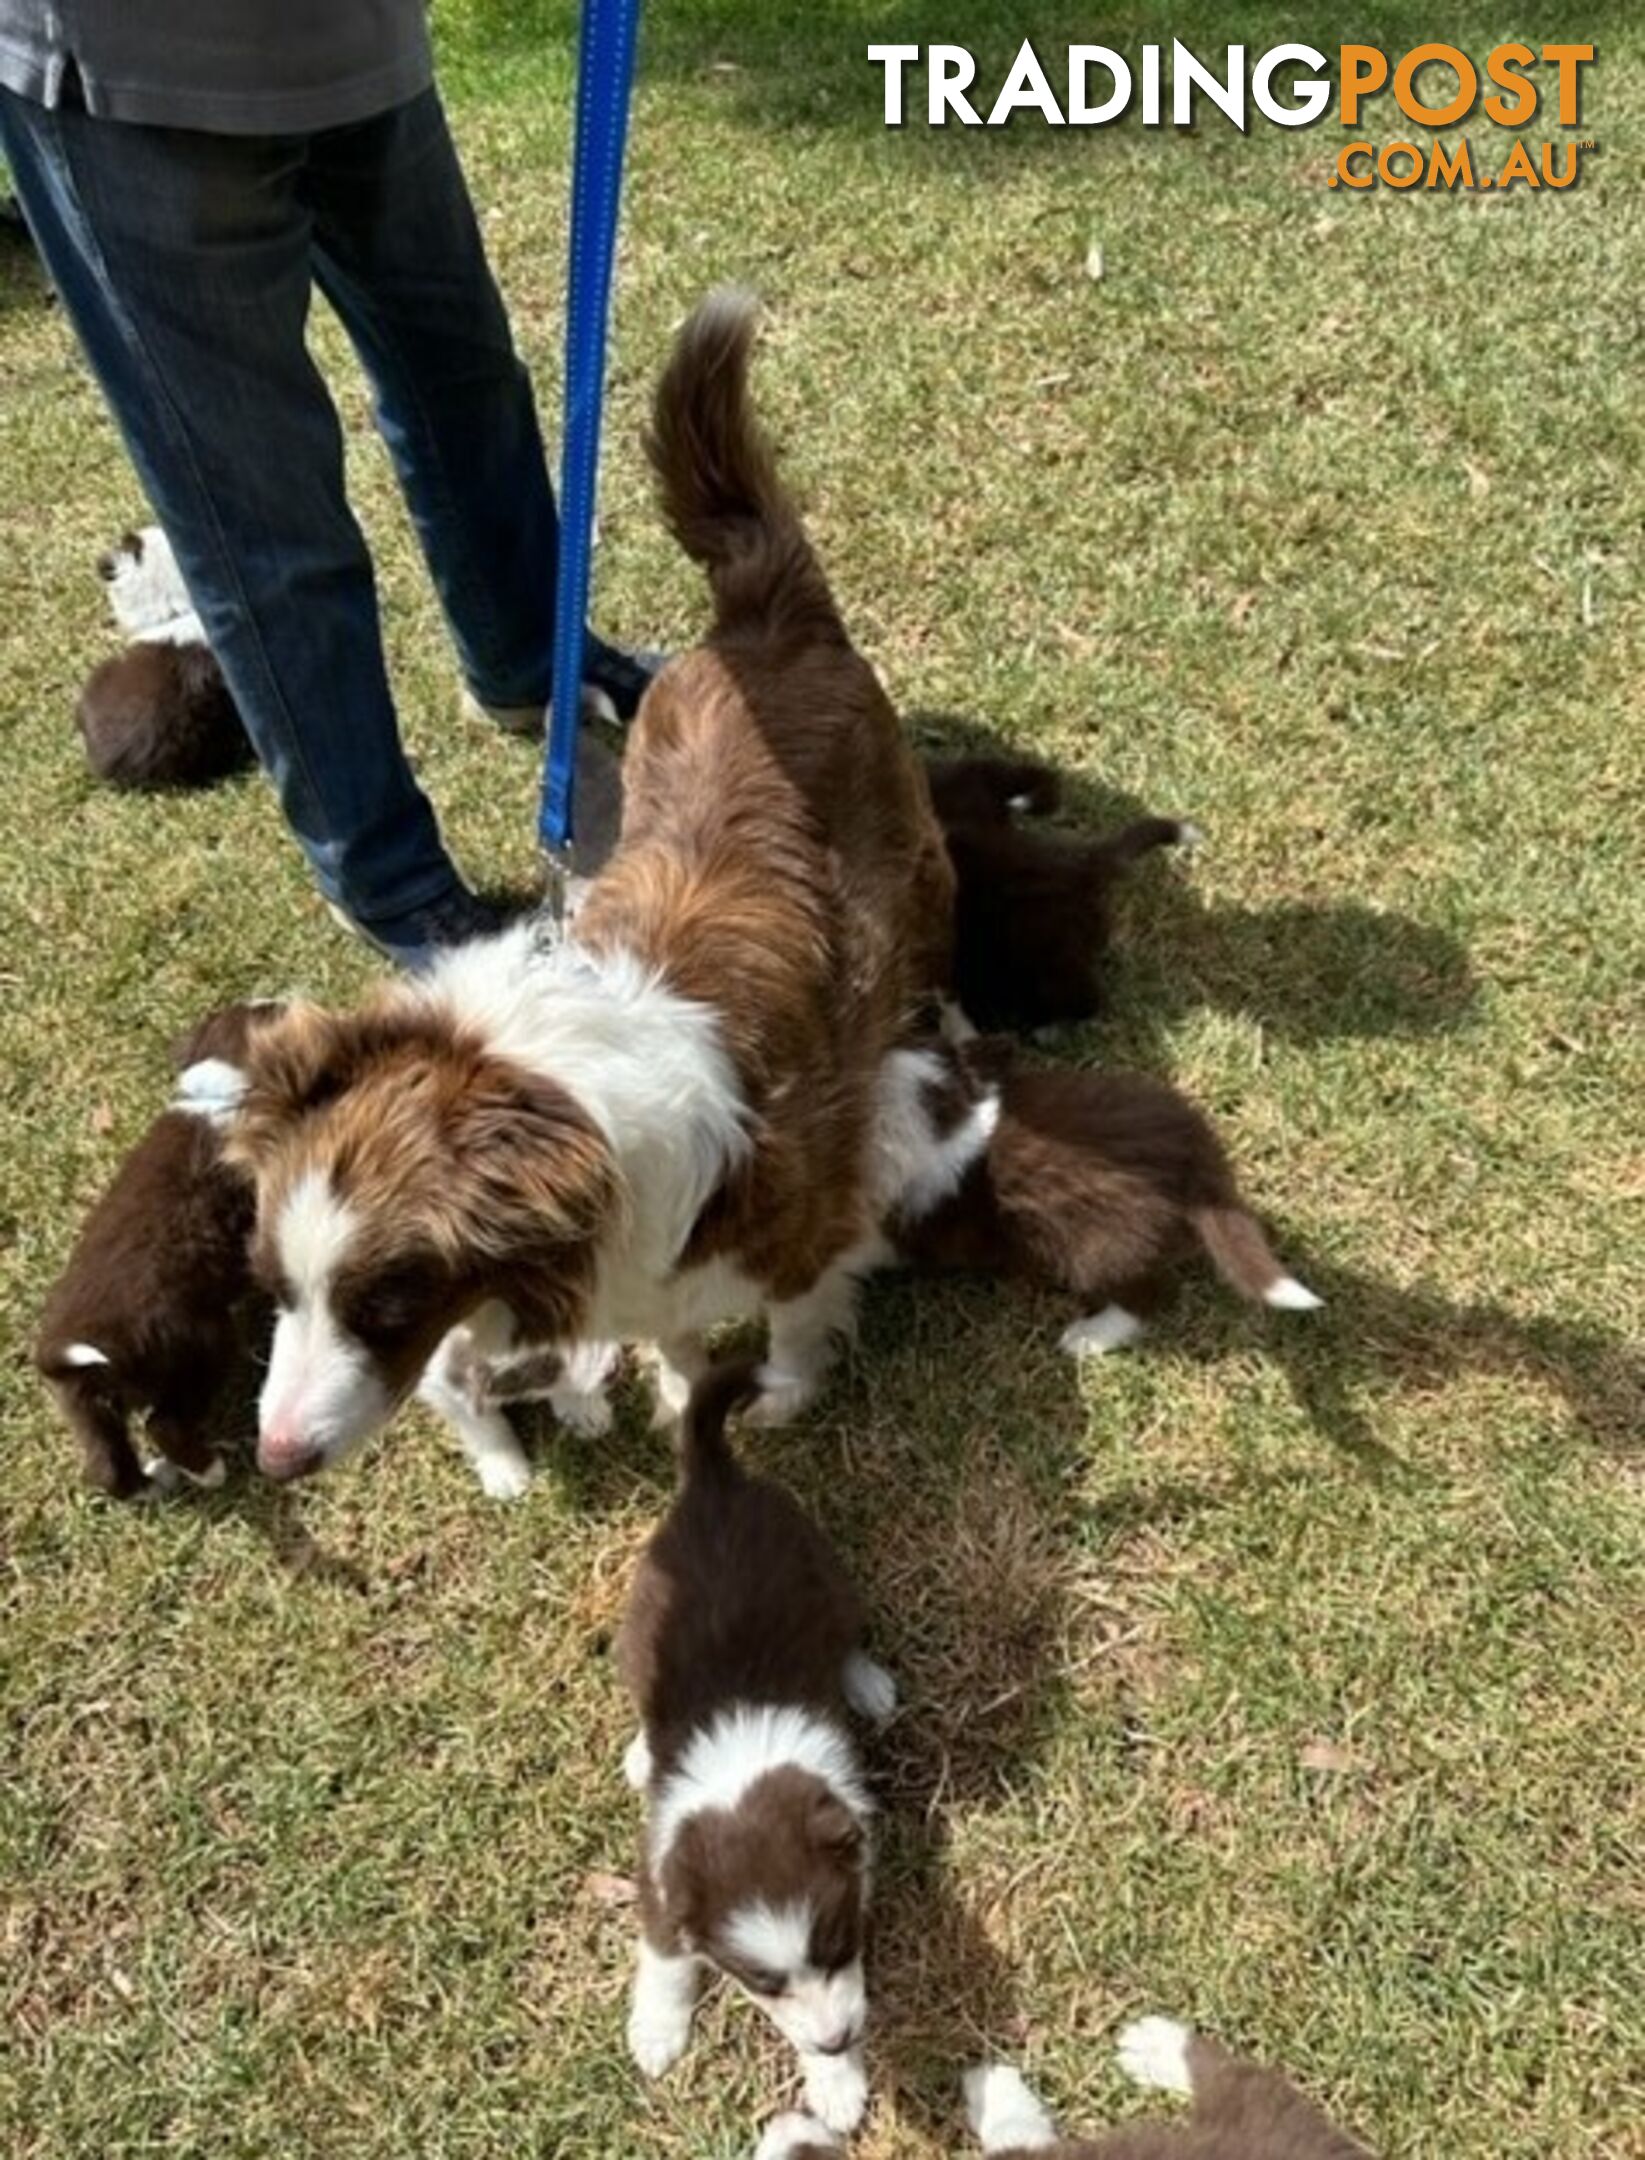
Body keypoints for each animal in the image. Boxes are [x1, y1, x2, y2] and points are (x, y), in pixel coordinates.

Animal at [224, 291, 954, 1486]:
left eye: (385, 1303)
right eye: (276, 1288)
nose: (279, 1459)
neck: (557, 1104)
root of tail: (760, 617)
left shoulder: (802, 1222)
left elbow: (794, 1320)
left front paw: (779, 1400)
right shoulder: (644, 1270)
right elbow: (673, 1335)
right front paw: (681, 1393)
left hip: (917, 861)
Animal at [613, 1356, 898, 2134]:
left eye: (837, 1945)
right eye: (760, 1983)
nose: (838, 2039)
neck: (743, 1781)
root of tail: (714, 1477)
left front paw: (835, 2082)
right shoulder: (662, 1879)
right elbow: (664, 1957)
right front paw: (656, 2031)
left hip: (828, 1571)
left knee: (847, 1633)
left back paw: (867, 1683)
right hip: (636, 1629)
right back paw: (640, 1752)